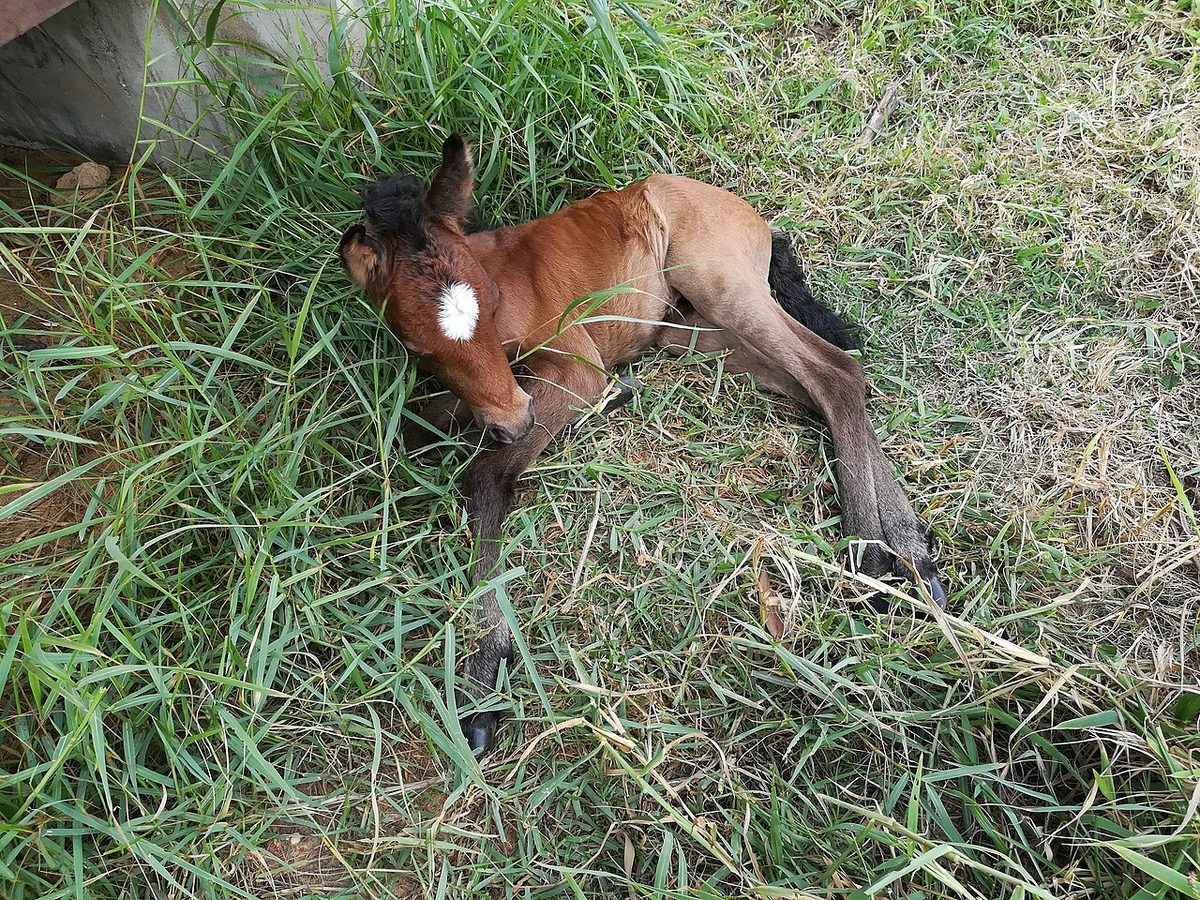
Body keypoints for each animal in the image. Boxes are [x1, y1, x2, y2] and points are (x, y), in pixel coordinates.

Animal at [339, 136, 946, 751]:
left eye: (490, 294)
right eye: (417, 347)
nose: (511, 420)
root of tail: (755, 217)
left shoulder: (575, 371)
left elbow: (487, 473)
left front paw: (484, 675)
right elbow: (422, 426)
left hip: (719, 287)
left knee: (837, 371)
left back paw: (879, 553)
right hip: (695, 332)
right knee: (817, 388)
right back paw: (912, 557)